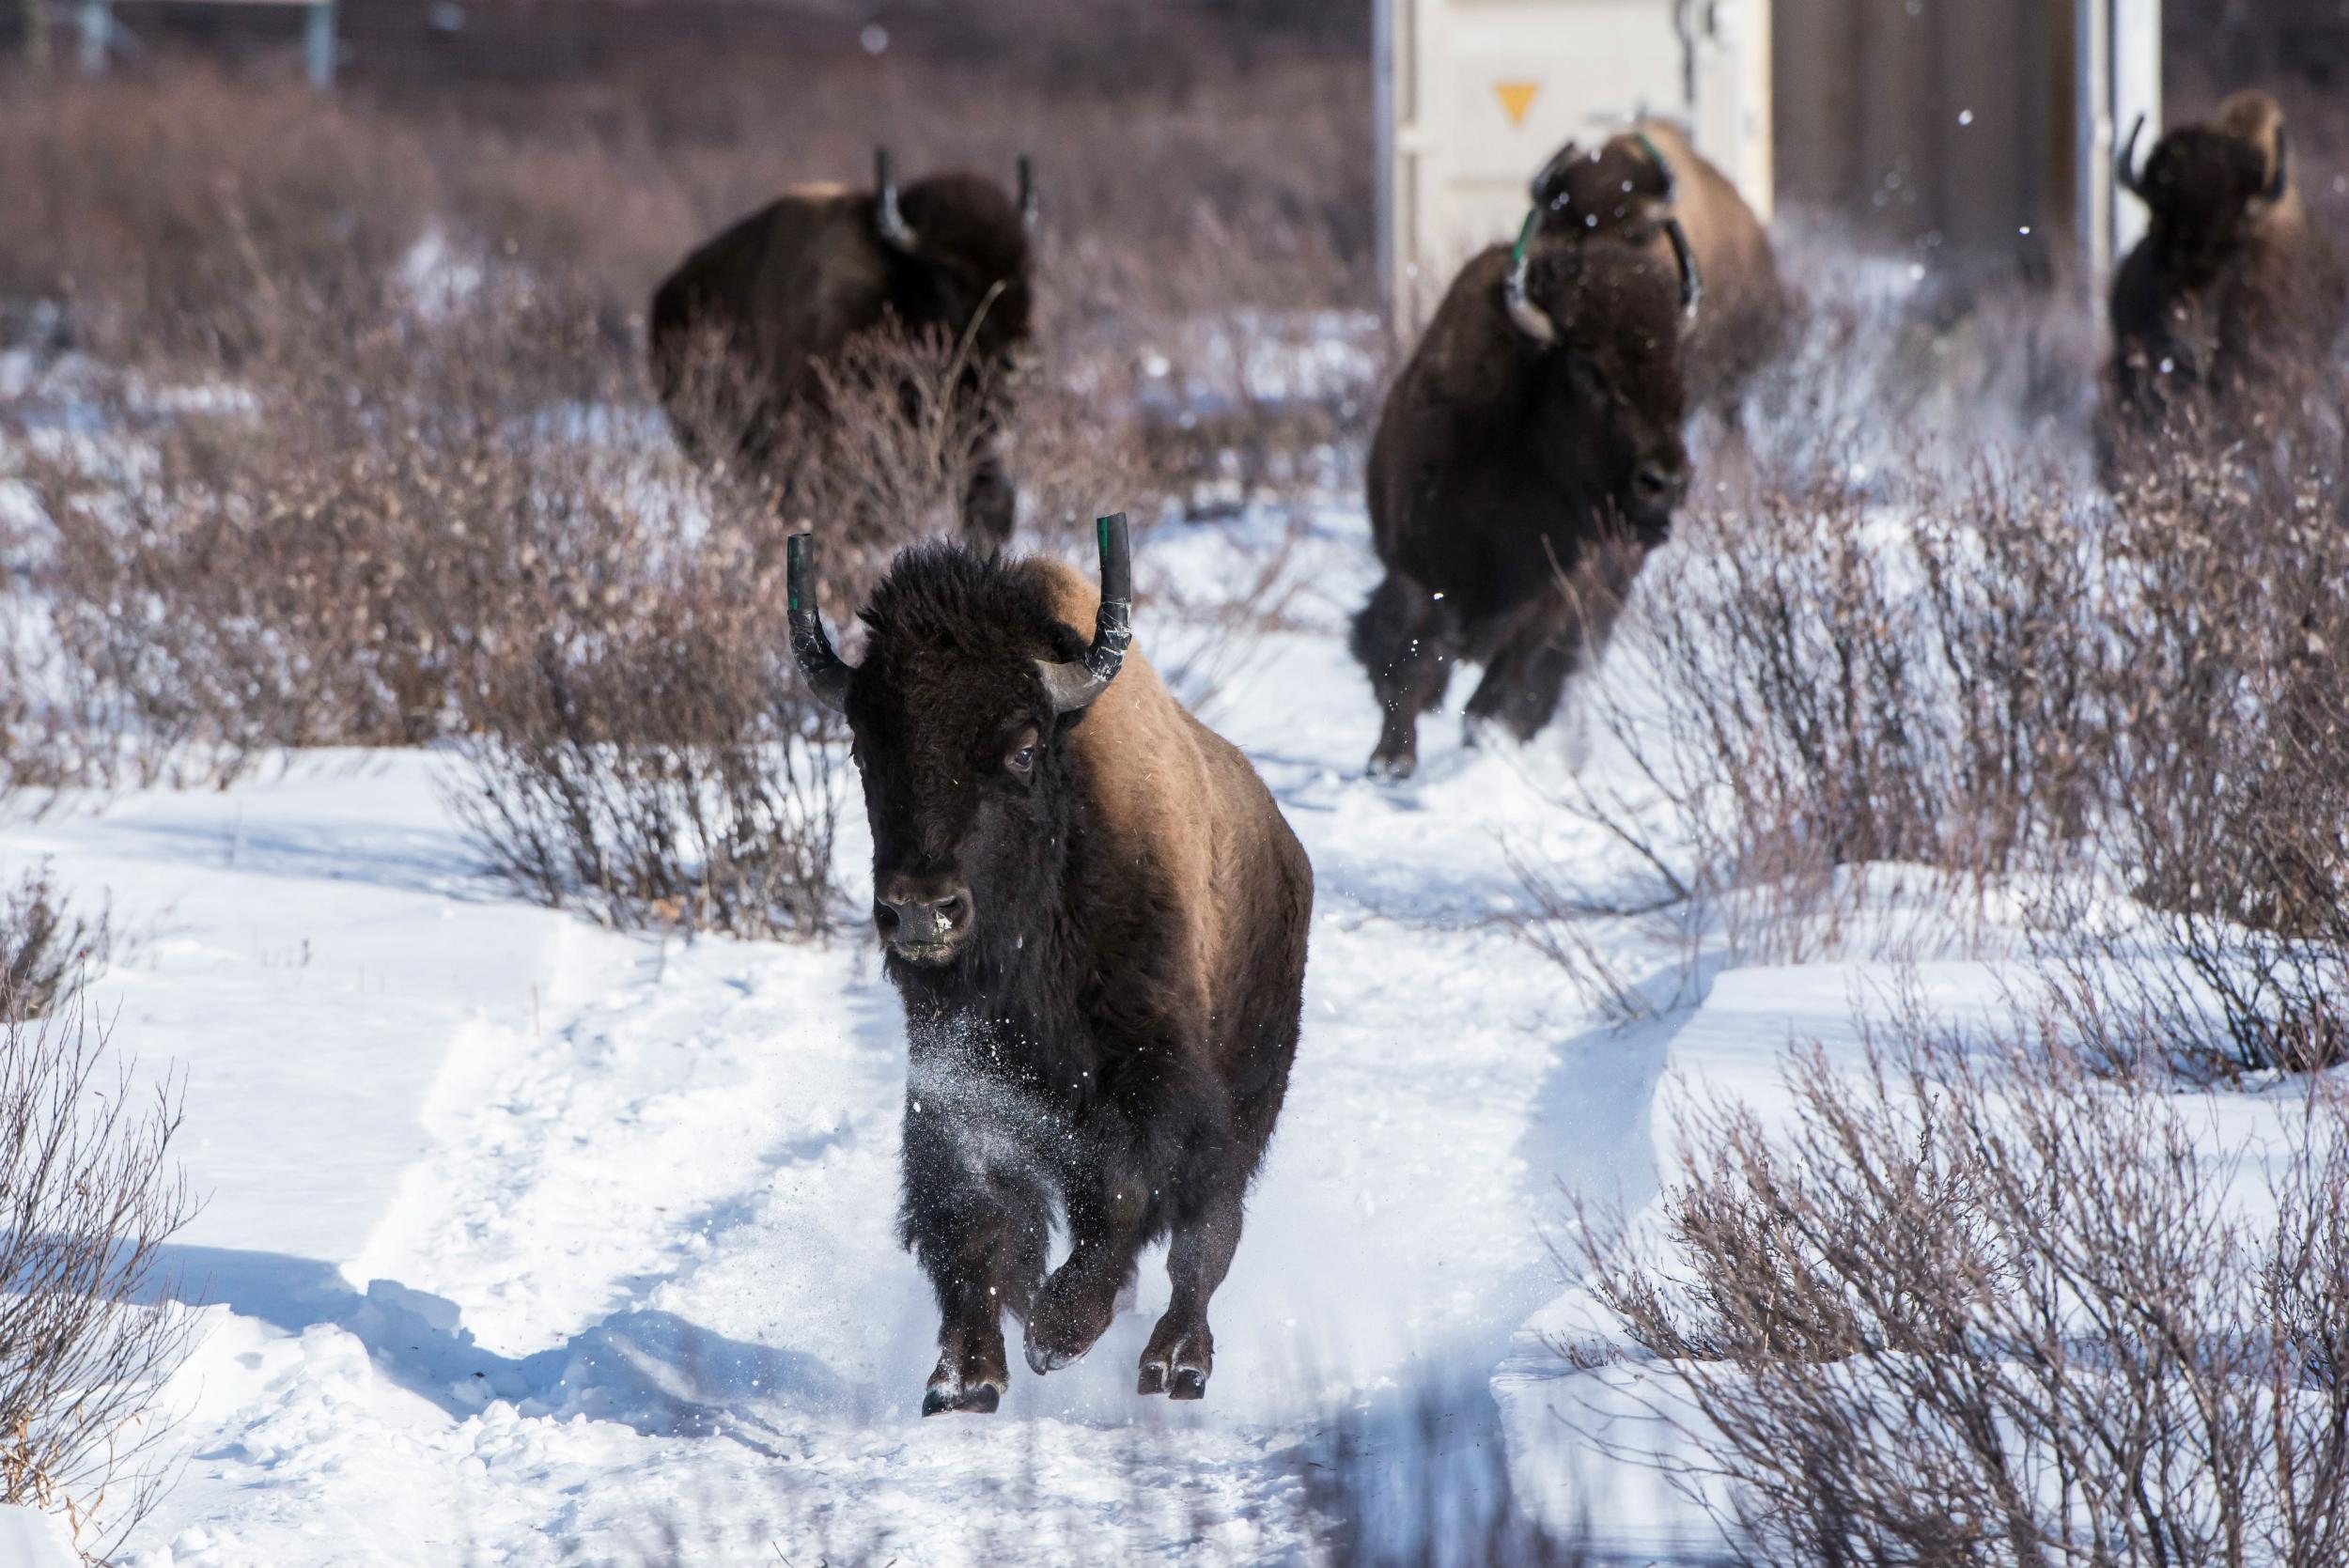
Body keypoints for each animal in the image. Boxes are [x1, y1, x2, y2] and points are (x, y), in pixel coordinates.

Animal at [780, 511, 1315, 1408]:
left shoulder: (1155, 1079)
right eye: (861, 748)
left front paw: (1056, 1334)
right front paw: (964, 1376)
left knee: (1207, 1235)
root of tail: (1287, 848)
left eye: (1025, 748)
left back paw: (1176, 1363)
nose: (921, 907)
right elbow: (972, 1216)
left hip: (1251, 1091)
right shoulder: (958, 1083)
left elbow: (1131, 1194)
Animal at [1353, 217, 1701, 779]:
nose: (1666, 481)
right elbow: (1405, 657)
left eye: (1677, 368)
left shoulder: (1559, 595)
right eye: (1588, 369)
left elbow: (1510, 685)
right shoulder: (1417, 568)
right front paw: (1391, 760)